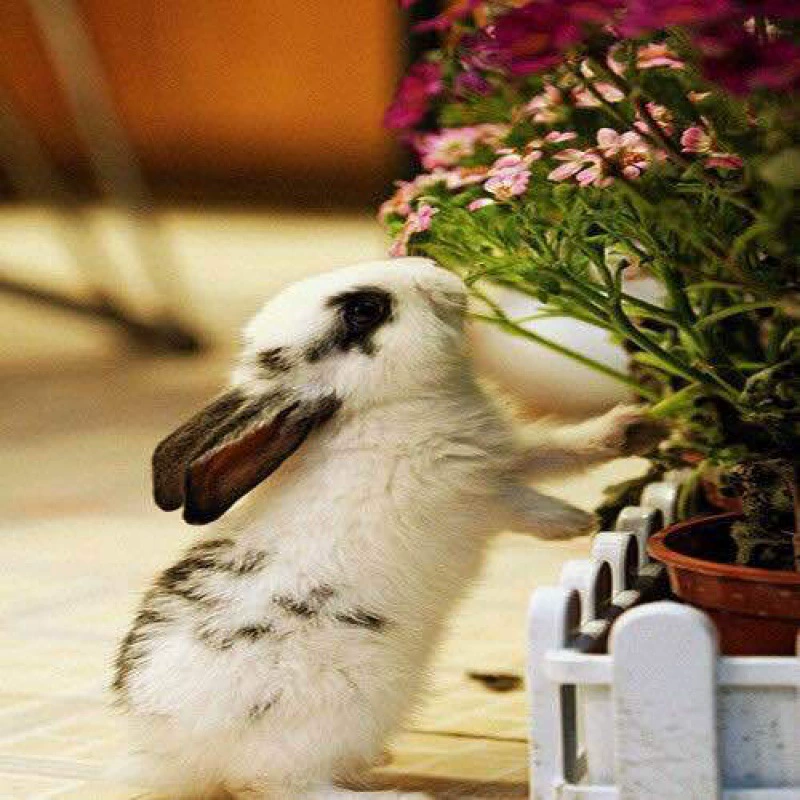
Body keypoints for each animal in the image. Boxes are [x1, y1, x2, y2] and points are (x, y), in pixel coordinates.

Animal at [112, 257, 663, 800]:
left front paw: (634, 428)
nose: (440, 273)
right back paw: (398, 794)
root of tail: (171, 755)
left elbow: (560, 450)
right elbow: (522, 505)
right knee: (277, 786)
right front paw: (576, 522)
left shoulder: (504, 455)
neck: (378, 407)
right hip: (336, 714)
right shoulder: (474, 494)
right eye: (363, 311)